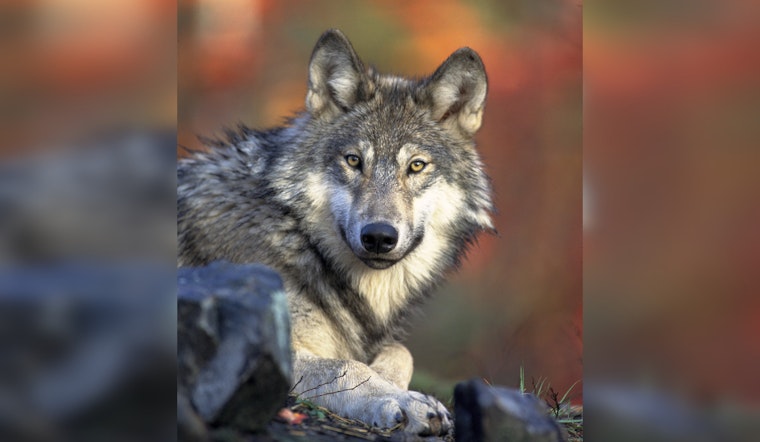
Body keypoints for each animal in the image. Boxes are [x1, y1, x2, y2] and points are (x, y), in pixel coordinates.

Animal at [178, 29, 494, 436]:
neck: (298, 238)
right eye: (354, 161)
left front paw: (395, 386)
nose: (379, 236)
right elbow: (347, 367)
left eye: (416, 166)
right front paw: (405, 401)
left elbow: (400, 352)